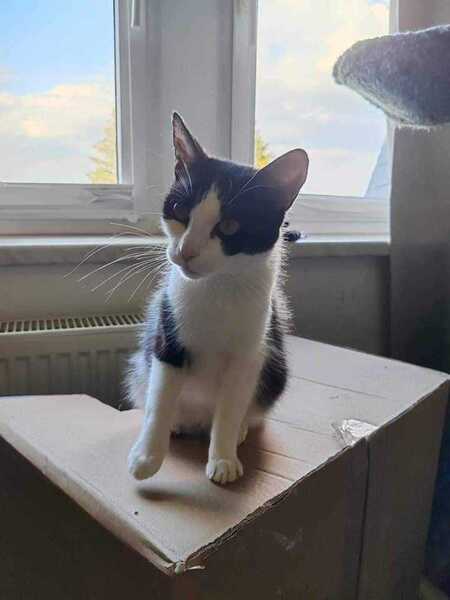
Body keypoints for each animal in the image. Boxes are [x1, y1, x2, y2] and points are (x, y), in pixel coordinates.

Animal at [126, 112, 308, 485]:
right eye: (179, 209)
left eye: (229, 226)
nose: (186, 251)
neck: (216, 289)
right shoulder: (167, 334)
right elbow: (159, 399)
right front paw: (146, 456)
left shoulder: (251, 351)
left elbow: (231, 405)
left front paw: (223, 458)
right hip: (140, 366)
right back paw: (178, 424)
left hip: (274, 371)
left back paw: (238, 431)